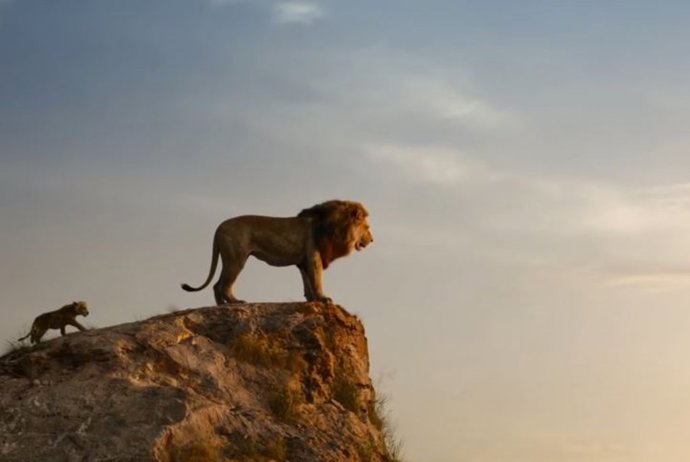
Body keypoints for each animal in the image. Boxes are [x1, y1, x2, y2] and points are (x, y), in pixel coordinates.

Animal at [181, 200, 373, 304]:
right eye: (367, 227)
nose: (372, 240)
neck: (334, 227)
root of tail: (219, 227)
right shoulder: (314, 256)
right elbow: (317, 279)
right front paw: (323, 298)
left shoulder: (304, 261)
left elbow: (307, 282)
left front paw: (311, 299)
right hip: (237, 259)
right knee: (224, 285)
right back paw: (235, 302)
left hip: (228, 258)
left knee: (216, 285)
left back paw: (222, 306)